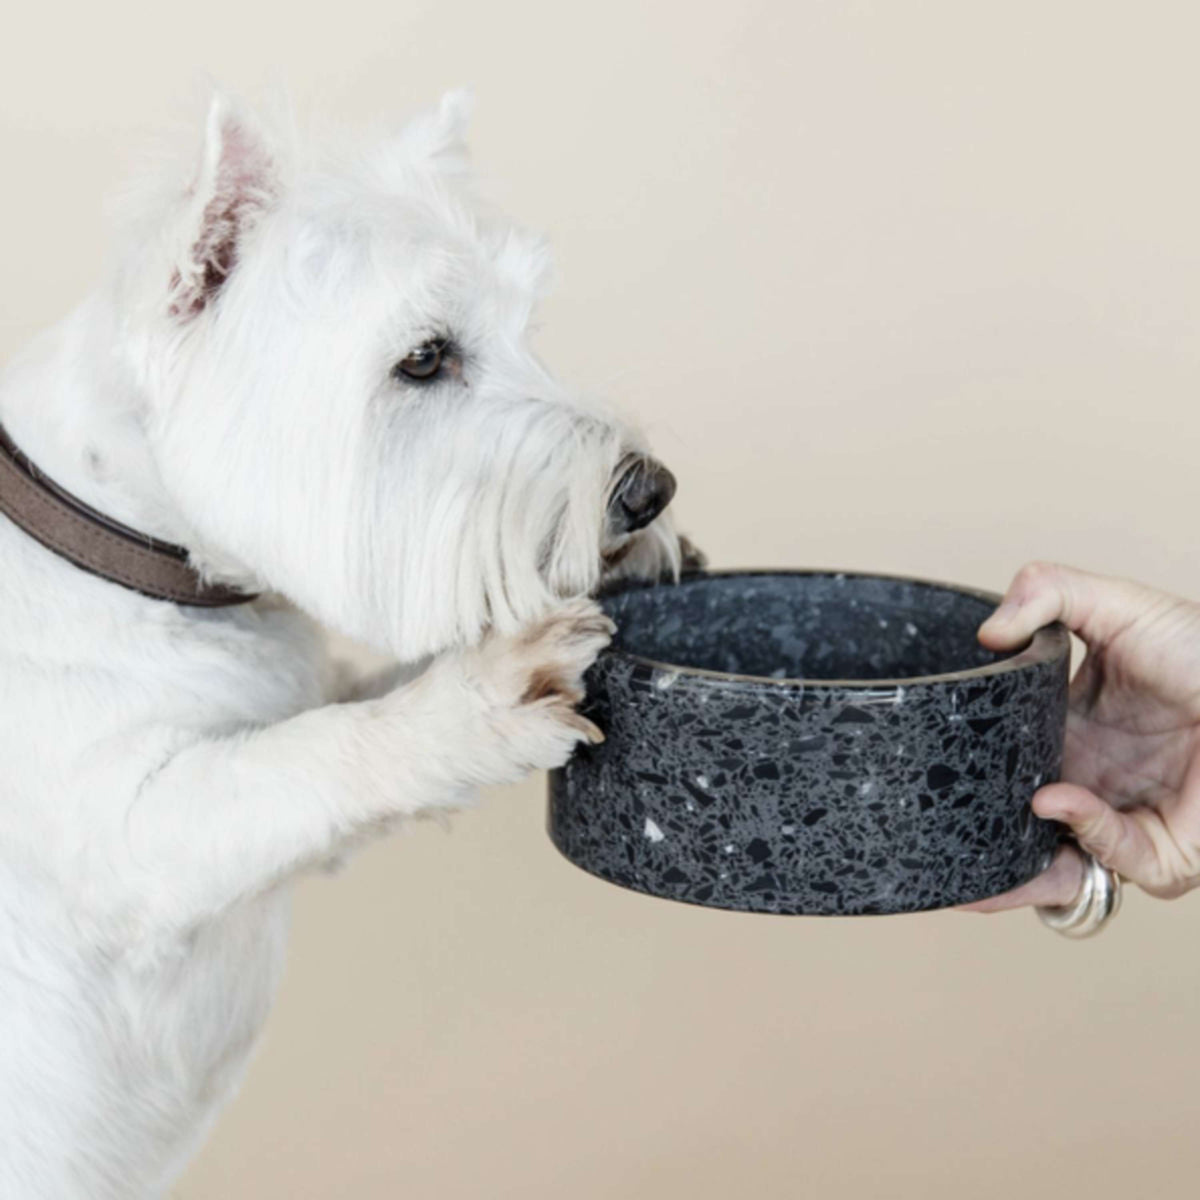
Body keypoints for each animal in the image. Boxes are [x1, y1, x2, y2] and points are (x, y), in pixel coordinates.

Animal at [0, 91, 681, 1200]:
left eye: (527, 327)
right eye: (424, 358)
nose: (652, 491)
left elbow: (340, 711)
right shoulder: (133, 837)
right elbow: (305, 753)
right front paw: (479, 701)